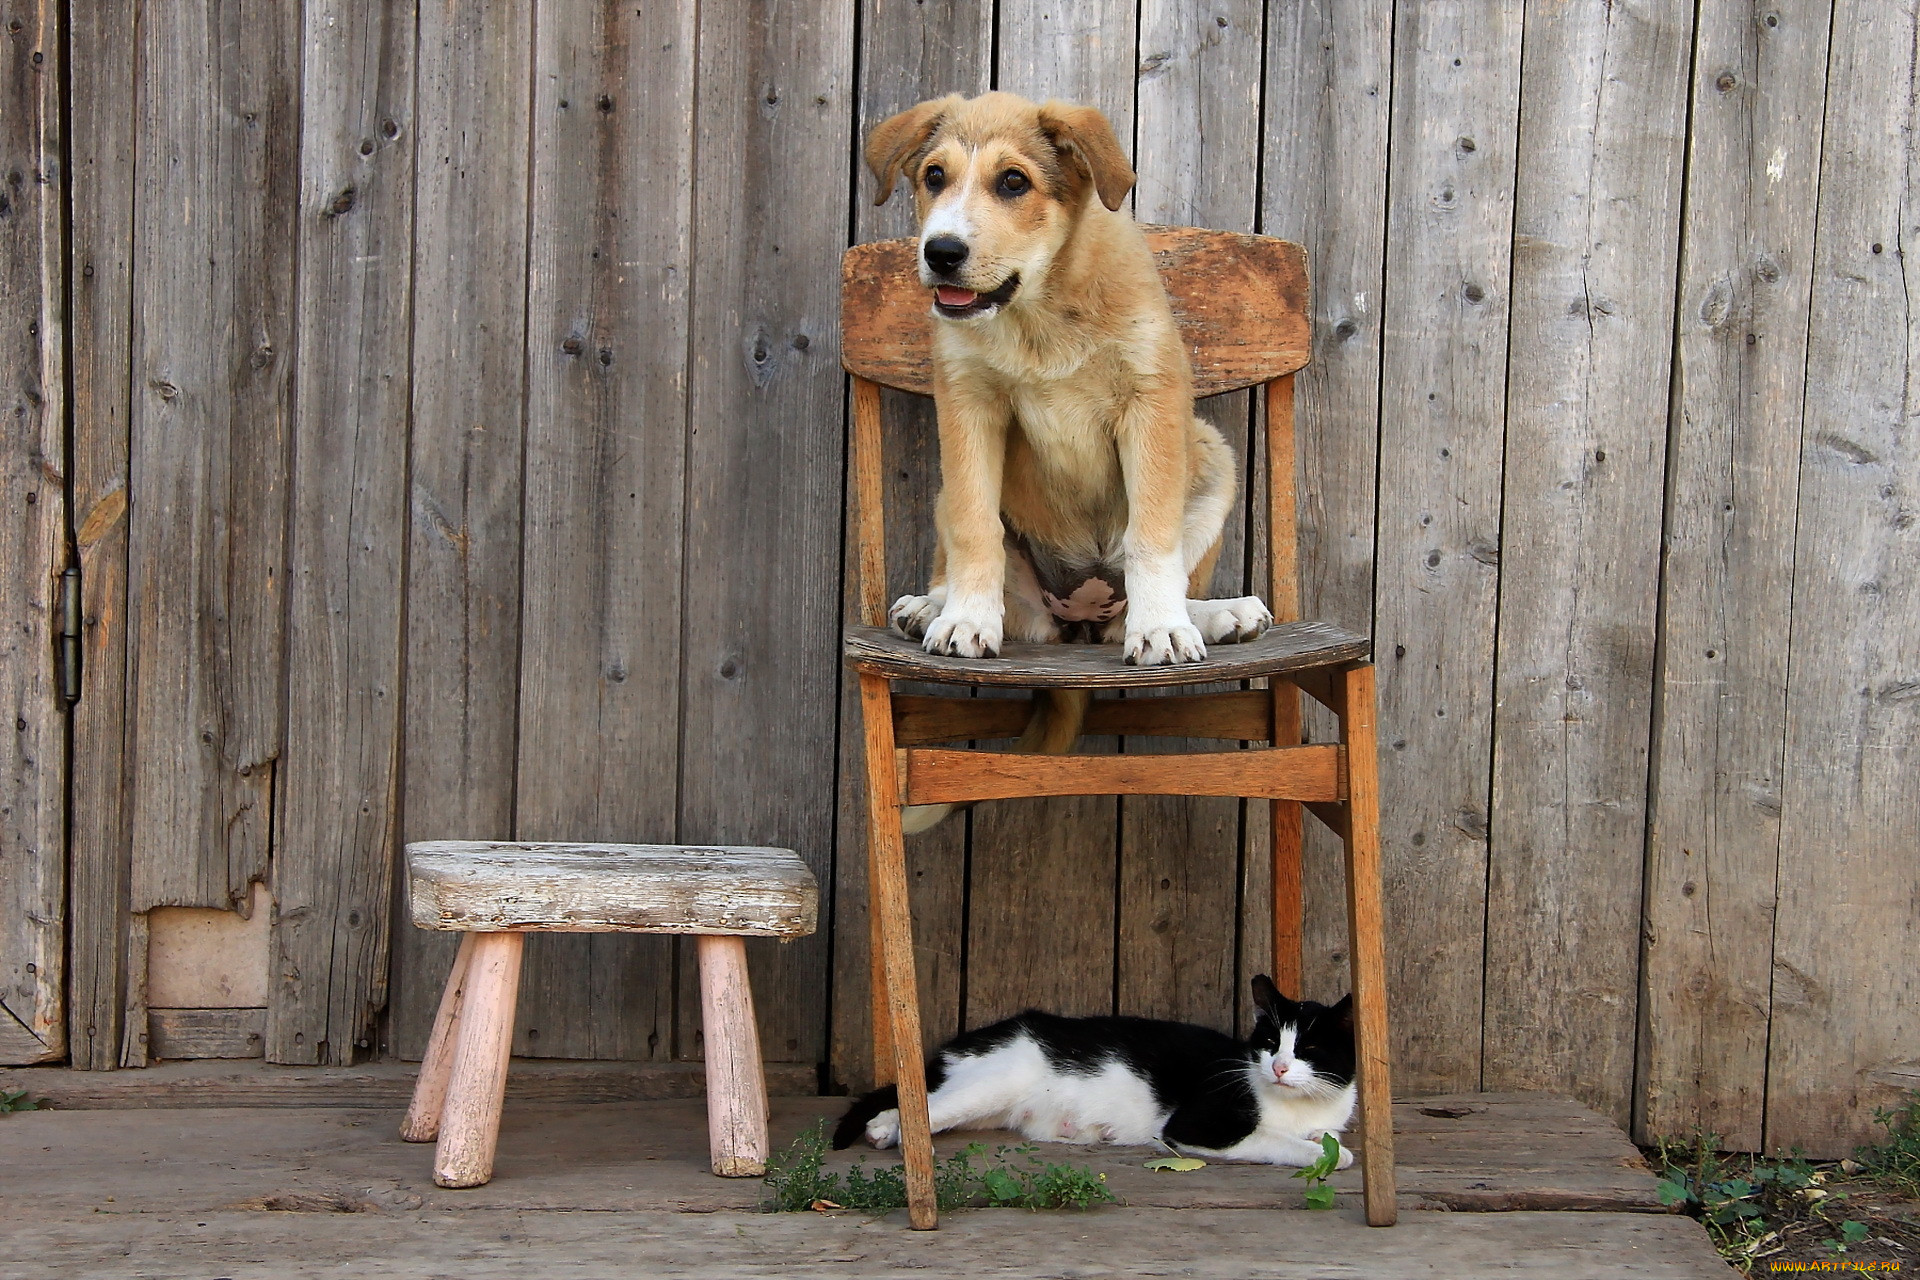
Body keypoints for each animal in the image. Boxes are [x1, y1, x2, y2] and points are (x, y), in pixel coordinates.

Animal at [833, 974, 1359, 1166]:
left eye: (1309, 1047)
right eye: (1270, 1043)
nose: (1280, 1067)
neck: (1299, 1106)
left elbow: (1330, 1139)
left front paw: (1319, 1139)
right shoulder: (1195, 1125)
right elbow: (1314, 1150)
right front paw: (1318, 1152)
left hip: (988, 1108)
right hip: (992, 1082)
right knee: (926, 1104)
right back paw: (887, 1132)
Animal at [871, 90, 1274, 667]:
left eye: (1013, 181)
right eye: (934, 175)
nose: (941, 252)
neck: (1040, 311)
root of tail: (1082, 610)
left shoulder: (1150, 401)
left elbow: (1152, 534)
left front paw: (1161, 629)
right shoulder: (969, 404)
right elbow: (976, 527)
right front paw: (966, 620)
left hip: (1211, 451)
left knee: (1154, 592)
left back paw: (1221, 615)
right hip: (957, 505)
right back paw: (934, 607)